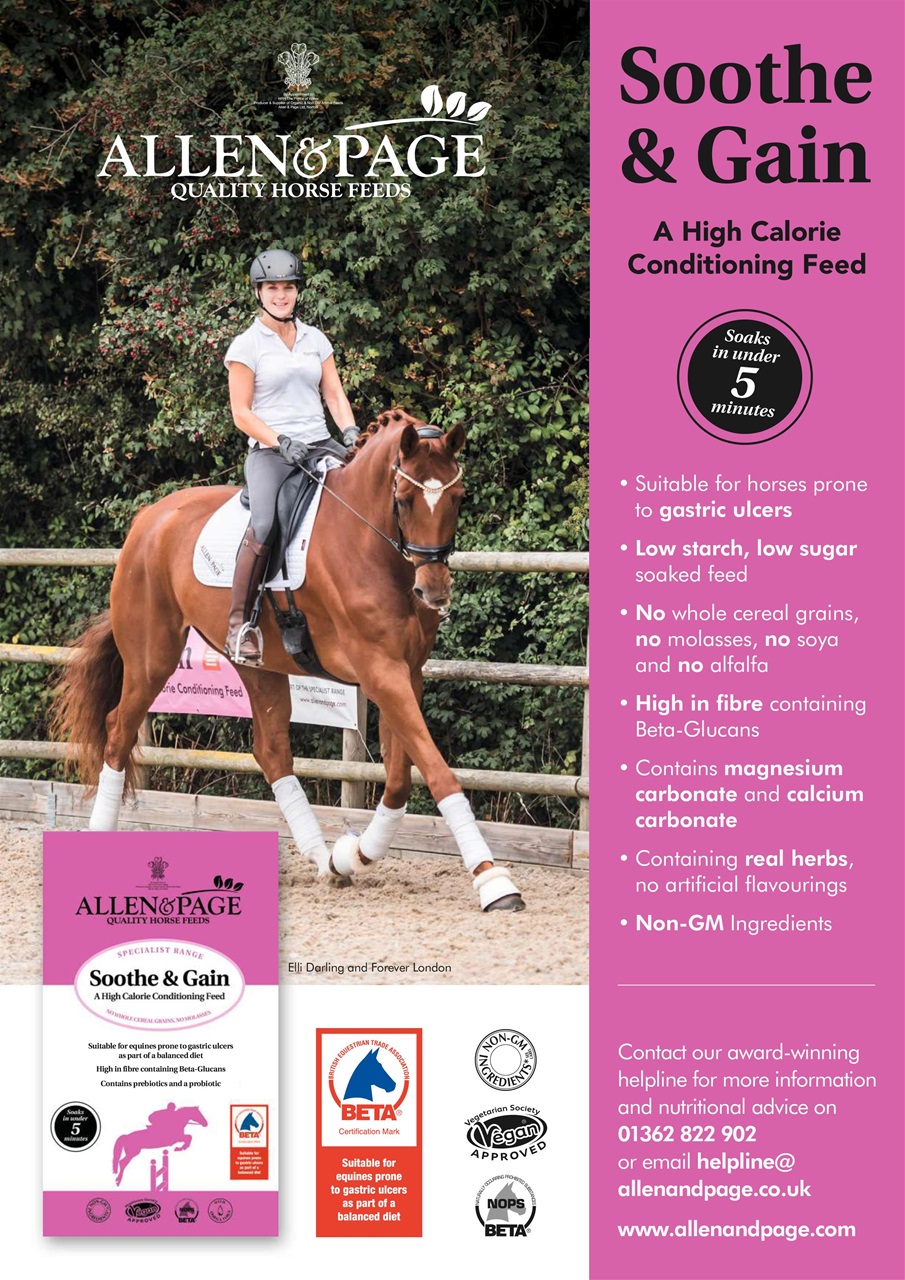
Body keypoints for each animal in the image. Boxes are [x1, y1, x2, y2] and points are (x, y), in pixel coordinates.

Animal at [52, 408, 524, 912]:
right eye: (403, 499)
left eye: (457, 497)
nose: (432, 592)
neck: (367, 542)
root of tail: (148, 519)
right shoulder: (380, 671)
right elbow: (437, 772)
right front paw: (493, 881)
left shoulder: (407, 673)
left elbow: (399, 778)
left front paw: (352, 854)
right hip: (150, 658)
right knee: (119, 730)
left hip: (259, 666)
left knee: (272, 751)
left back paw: (324, 860)